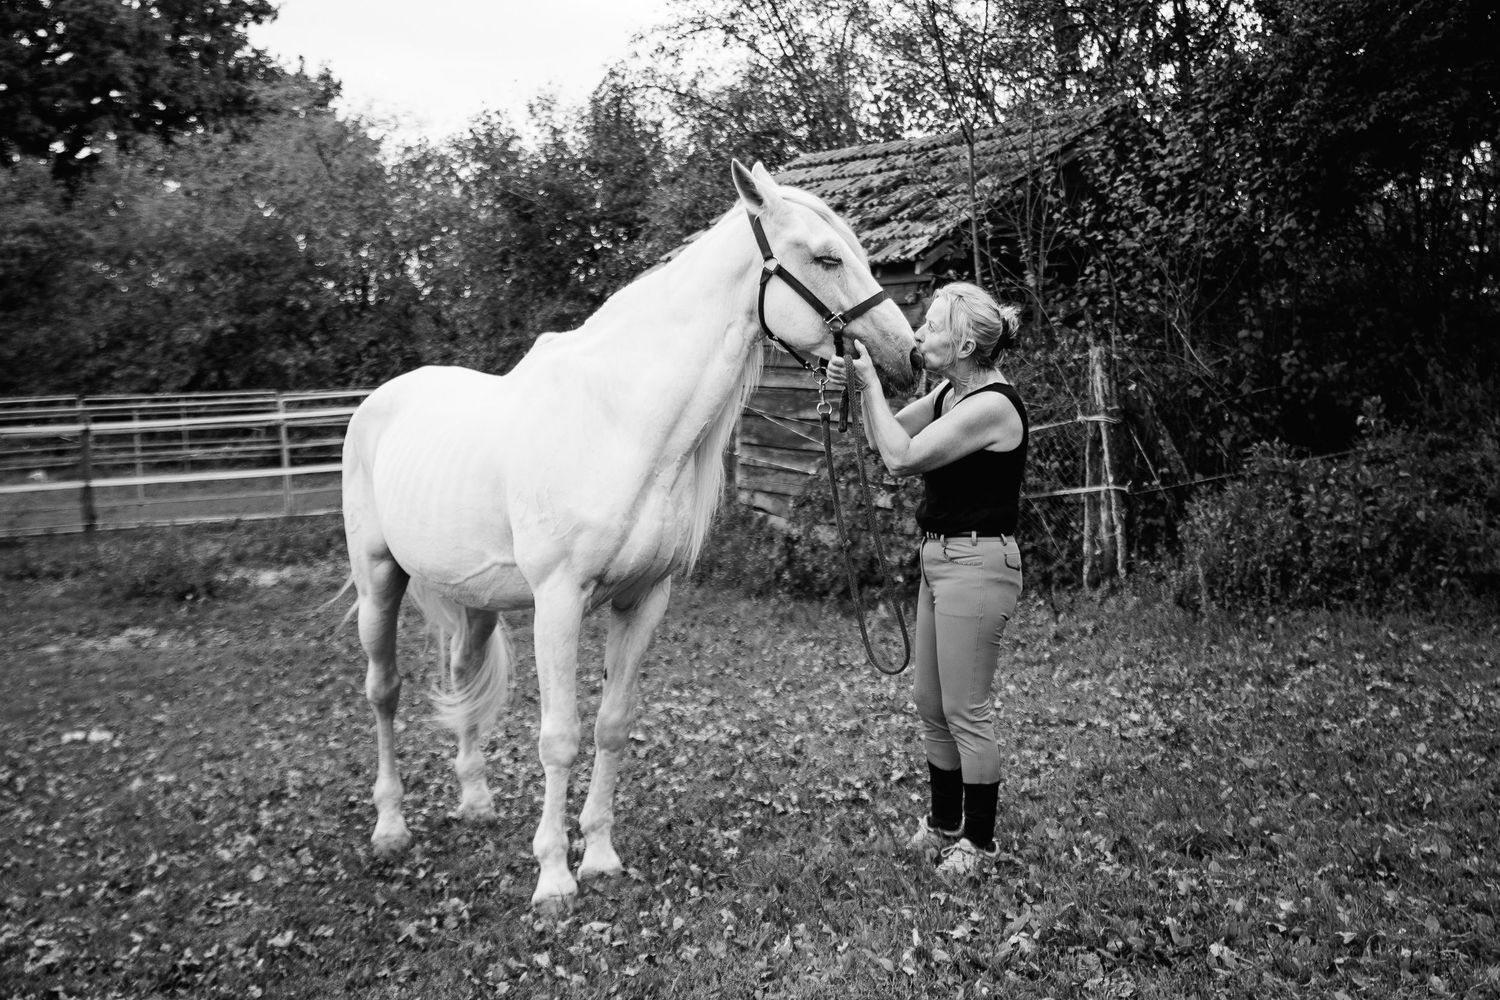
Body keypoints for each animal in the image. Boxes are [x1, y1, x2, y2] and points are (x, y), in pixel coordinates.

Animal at [340, 160, 922, 912]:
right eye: (826, 258)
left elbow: (612, 723)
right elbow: (559, 736)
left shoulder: (644, 599)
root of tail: (379, 402)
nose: (908, 355)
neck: (620, 423)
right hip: (379, 579)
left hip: (476, 601)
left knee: (464, 676)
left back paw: (475, 801)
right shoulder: (558, 601)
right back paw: (390, 826)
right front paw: (553, 878)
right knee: (383, 692)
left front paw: (601, 856)